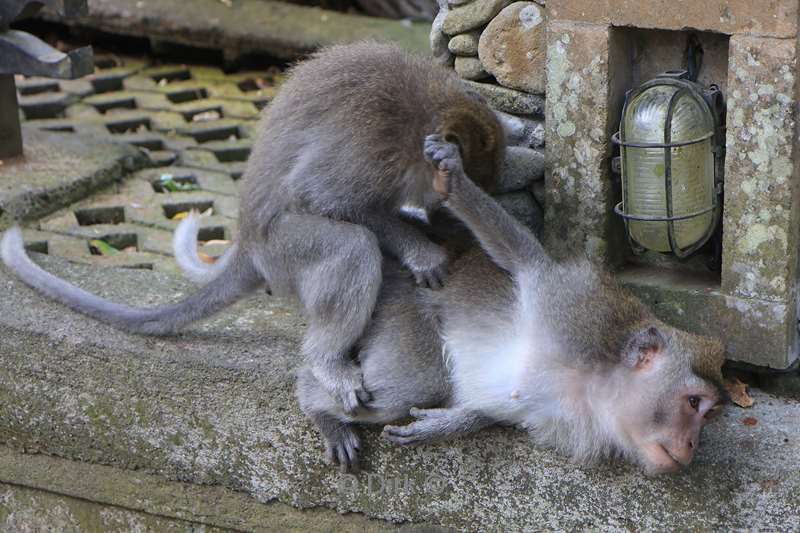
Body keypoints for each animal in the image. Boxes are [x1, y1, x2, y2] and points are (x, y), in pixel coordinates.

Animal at [0, 43, 504, 414]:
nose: (445, 214)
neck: (423, 112)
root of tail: (248, 243)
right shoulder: (375, 145)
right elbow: (322, 196)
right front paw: (420, 249)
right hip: (284, 252)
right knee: (350, 246)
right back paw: (327, 359)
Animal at [292, 133, 724, 474]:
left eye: (708, 414)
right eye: (692, 403)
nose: (692, 444)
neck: (595, 388)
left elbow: (495, 408)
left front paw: (448, 424)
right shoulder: (574, 309)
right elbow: (522, 257)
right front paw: (453, 177)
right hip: (402, 308)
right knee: (412, 383)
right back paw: (318, 404)